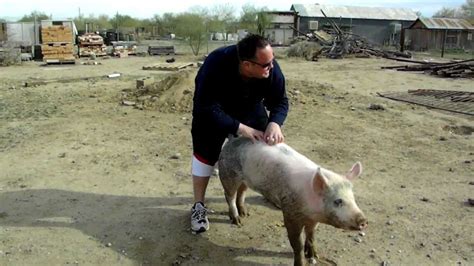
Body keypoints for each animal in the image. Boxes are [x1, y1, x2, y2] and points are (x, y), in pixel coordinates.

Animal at [217, 137, 368, 266]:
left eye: (353, 198)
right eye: (338, 201)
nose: (364, 220)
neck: (310, 210)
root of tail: (232, 140)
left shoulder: (314, 219)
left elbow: (311, 236)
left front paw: (314, 256)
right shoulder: (290, 213)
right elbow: (297, 244)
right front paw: (302, 261)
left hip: (245, 179)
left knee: (242, 191)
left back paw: (245, 214)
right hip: (228, 174)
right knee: (229, 195)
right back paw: (237, 221)